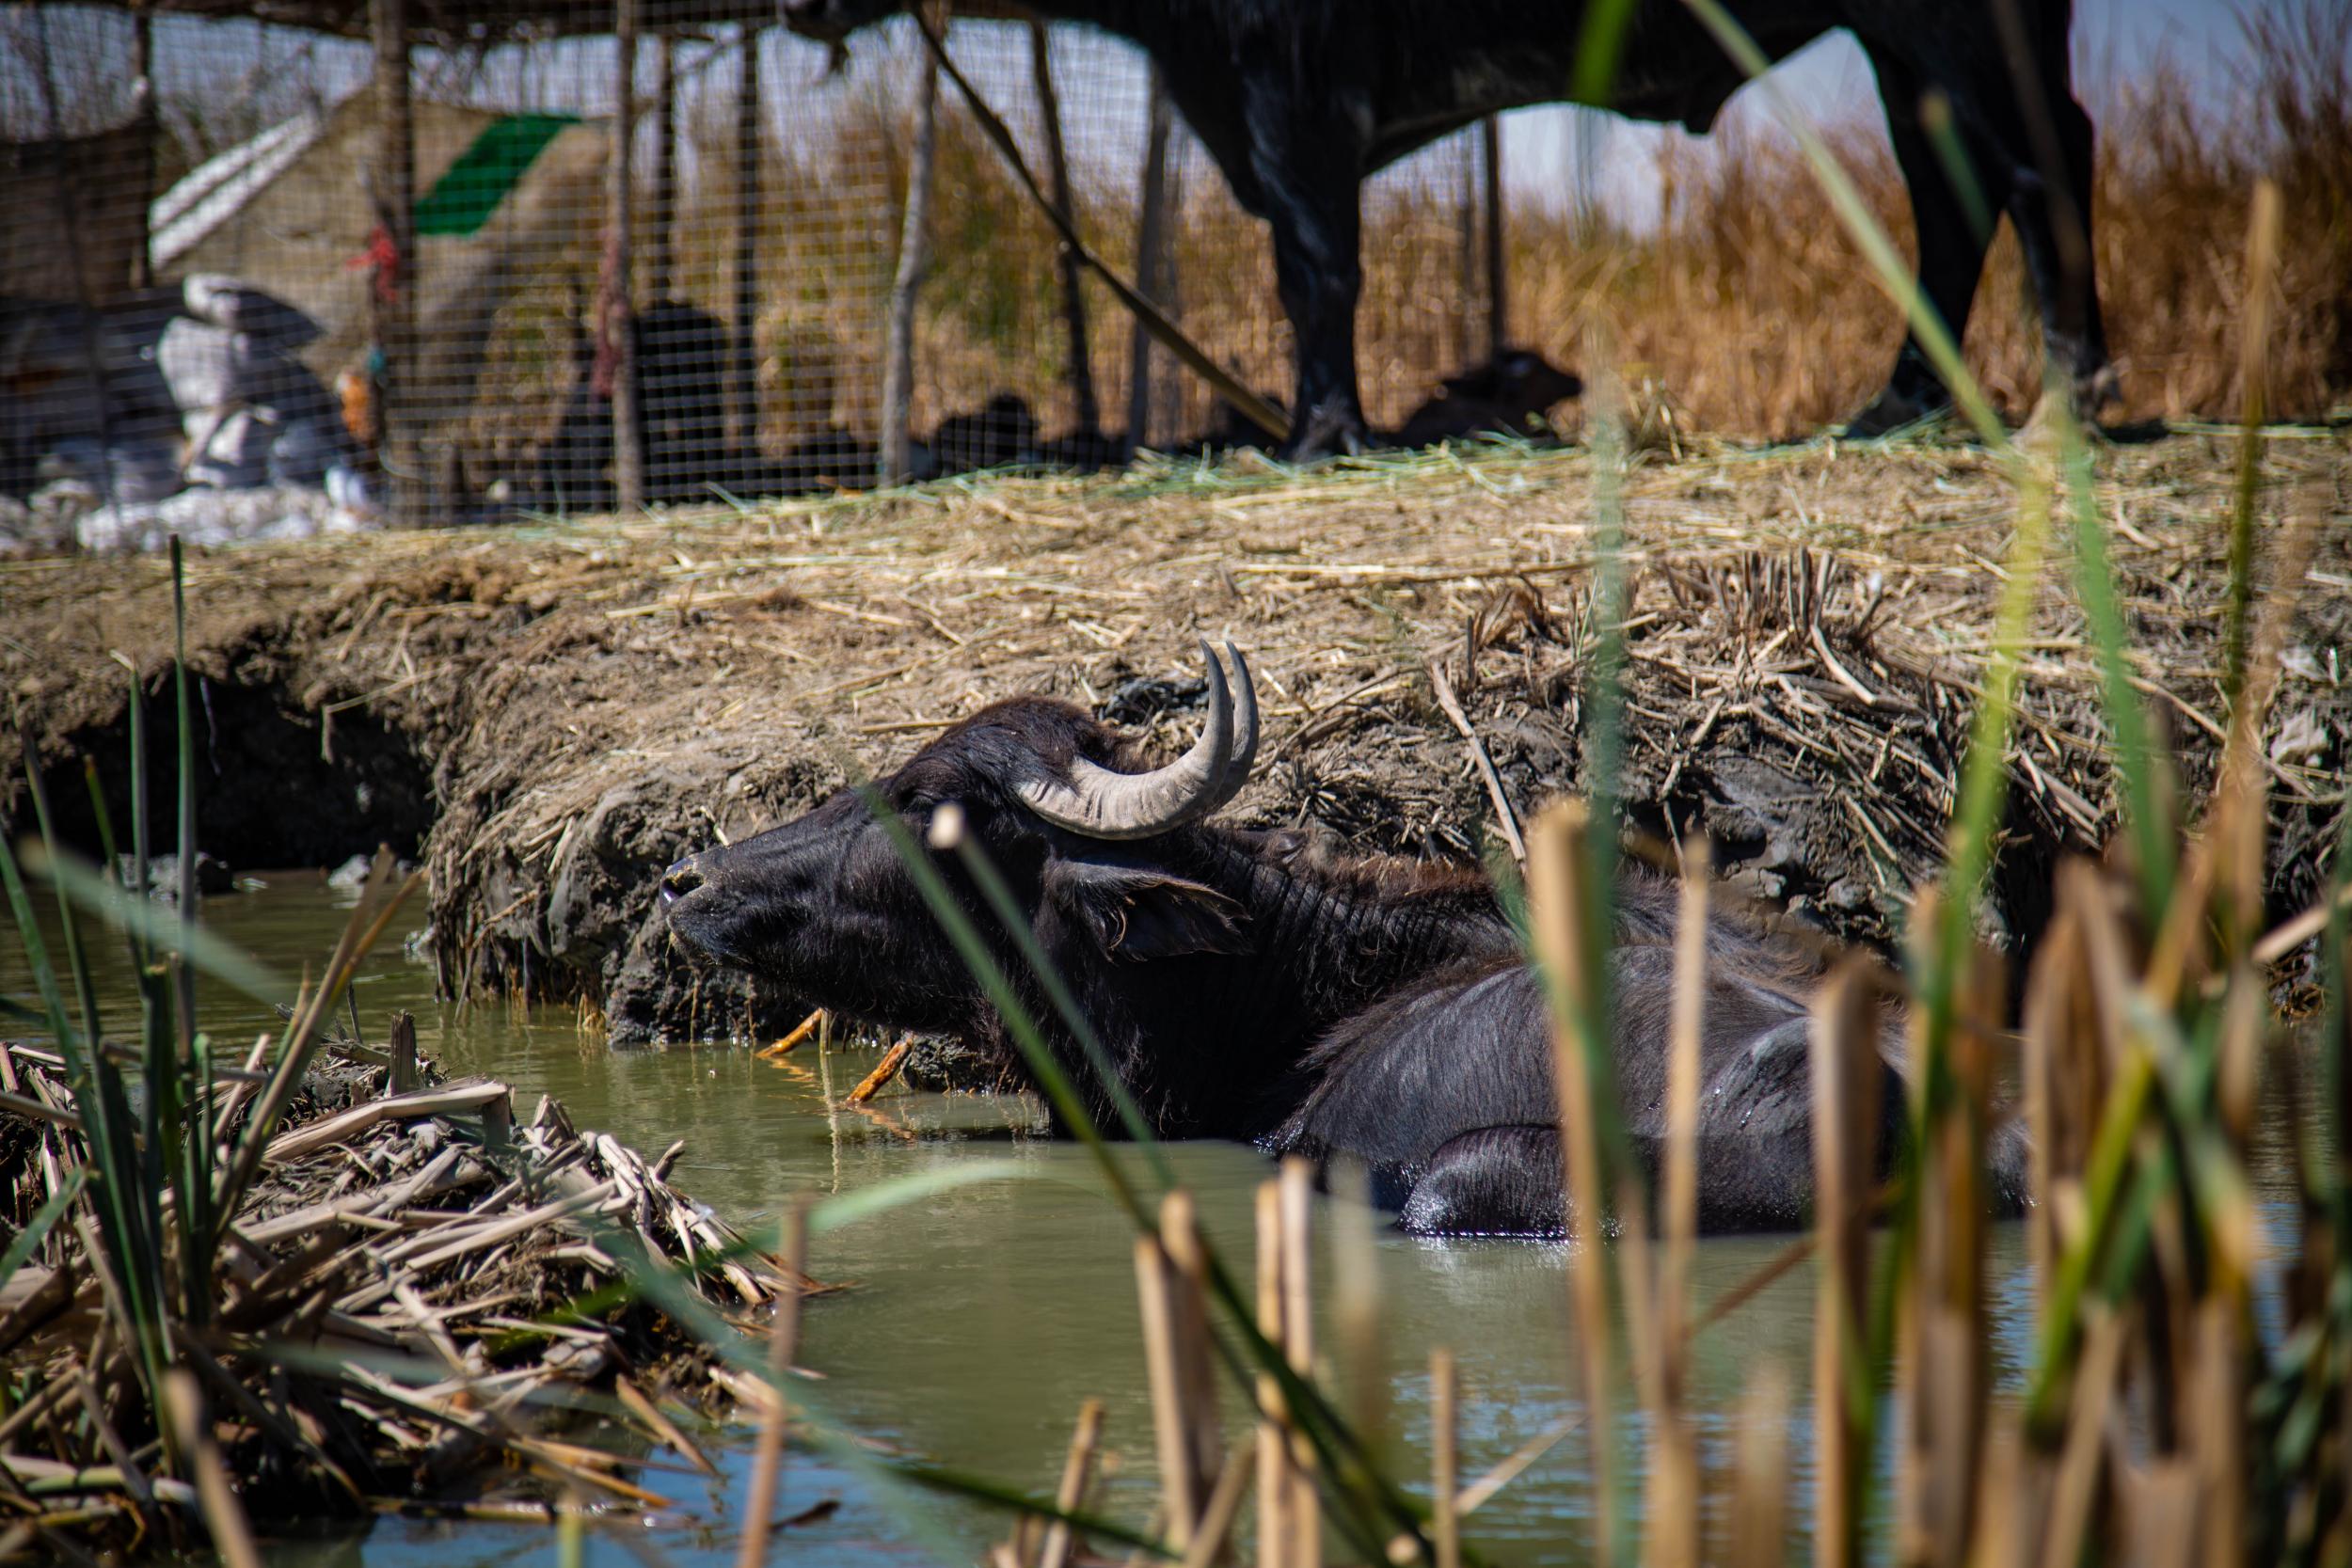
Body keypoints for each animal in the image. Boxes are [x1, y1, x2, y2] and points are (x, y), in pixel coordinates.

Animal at [786, 0, 2117, 455]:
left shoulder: (1294, 96)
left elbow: (1317, 271)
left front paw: (1323, 431)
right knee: (1949, 197)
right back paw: (1902, 399)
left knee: (2035, 166)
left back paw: (2069, 389)